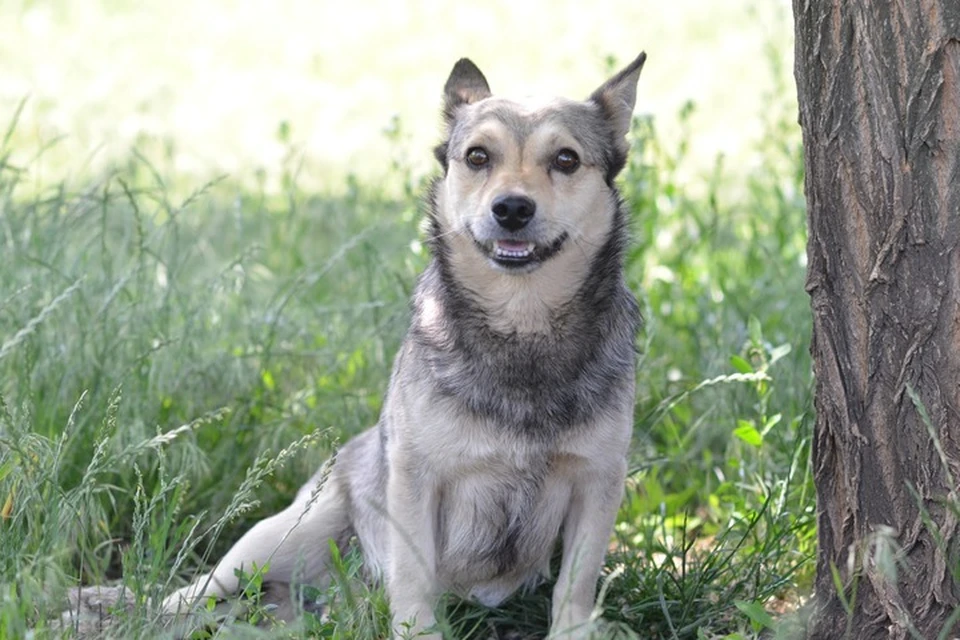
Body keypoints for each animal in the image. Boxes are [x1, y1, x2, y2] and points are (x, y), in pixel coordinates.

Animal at [163, 52, 644, 636]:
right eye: (478, 156)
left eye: (567, 159)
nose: (511, 208)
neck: (519, 326)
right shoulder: (416, 480)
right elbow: (413, 576)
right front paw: (418, 629)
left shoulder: (598, 482)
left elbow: (576, 582)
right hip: (278, 537)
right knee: (210, 582)